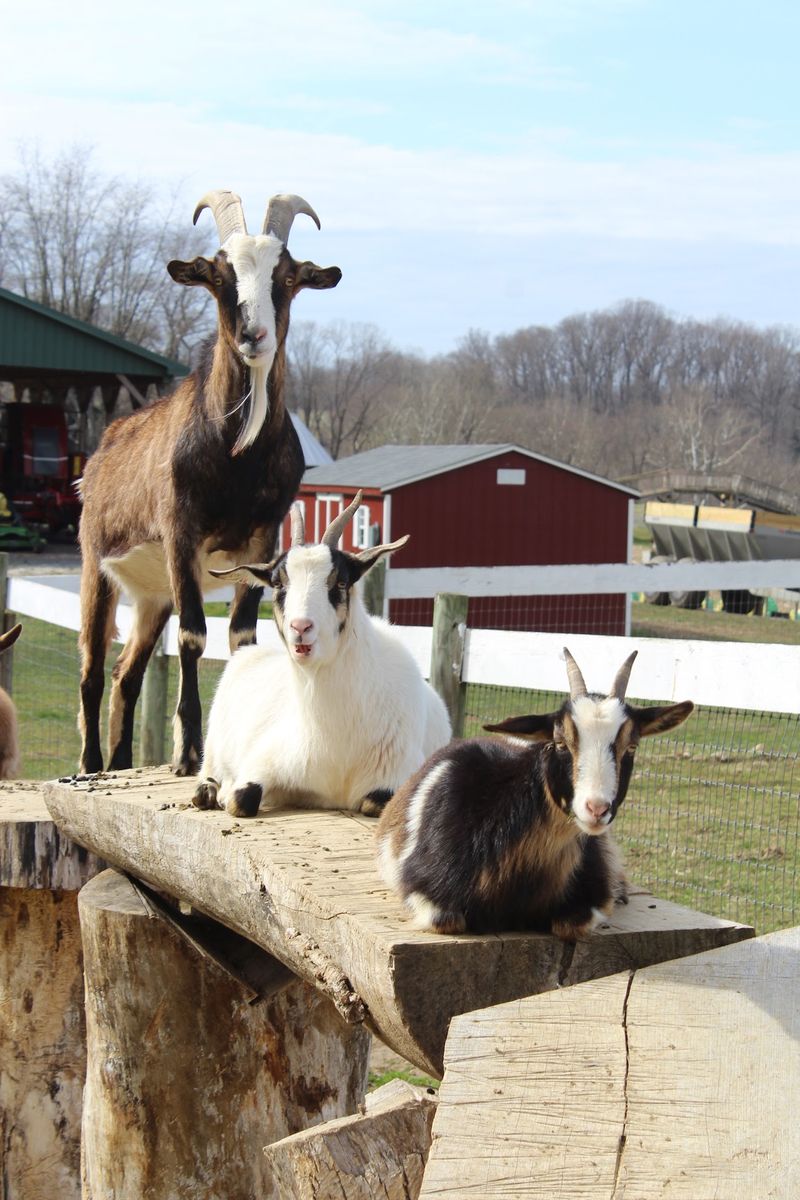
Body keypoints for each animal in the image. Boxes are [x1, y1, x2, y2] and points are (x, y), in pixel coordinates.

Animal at [77, 189, 341, 776]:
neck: (237, 457)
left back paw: (122, 763)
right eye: (220, 275)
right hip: (95, 565)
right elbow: (195, 636)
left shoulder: (262, 537)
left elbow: (241, 637)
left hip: (152, 594)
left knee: (126, 673)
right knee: (92, 668)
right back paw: (90, 765)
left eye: (287, 276)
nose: (253, 335)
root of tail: (100, 452)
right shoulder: (182, 531)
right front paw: (190, 752)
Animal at [191, 491, 452, 817]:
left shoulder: (397, 774)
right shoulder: (264, 760)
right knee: (208, 768)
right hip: (214, 742)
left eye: (340, 582)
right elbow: (241, 799)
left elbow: (372, 802)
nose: (301, 627)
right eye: (278, 583)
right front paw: (226, 793)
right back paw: (207, 790)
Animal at [376, 647, 693, 941]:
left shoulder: (591, 893)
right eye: (560, 742)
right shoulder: (422, 890)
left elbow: (571, 923)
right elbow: (447, 919)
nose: (596, 809)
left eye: (632, 747)